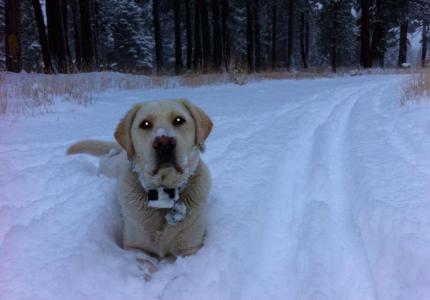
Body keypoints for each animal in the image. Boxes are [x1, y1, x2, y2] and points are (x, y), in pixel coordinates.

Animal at [67, 99, 213, 258]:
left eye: (179, 120)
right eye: (145, 124)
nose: (164, 143)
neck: (163, 194)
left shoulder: (189, 249)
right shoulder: (136, 248)